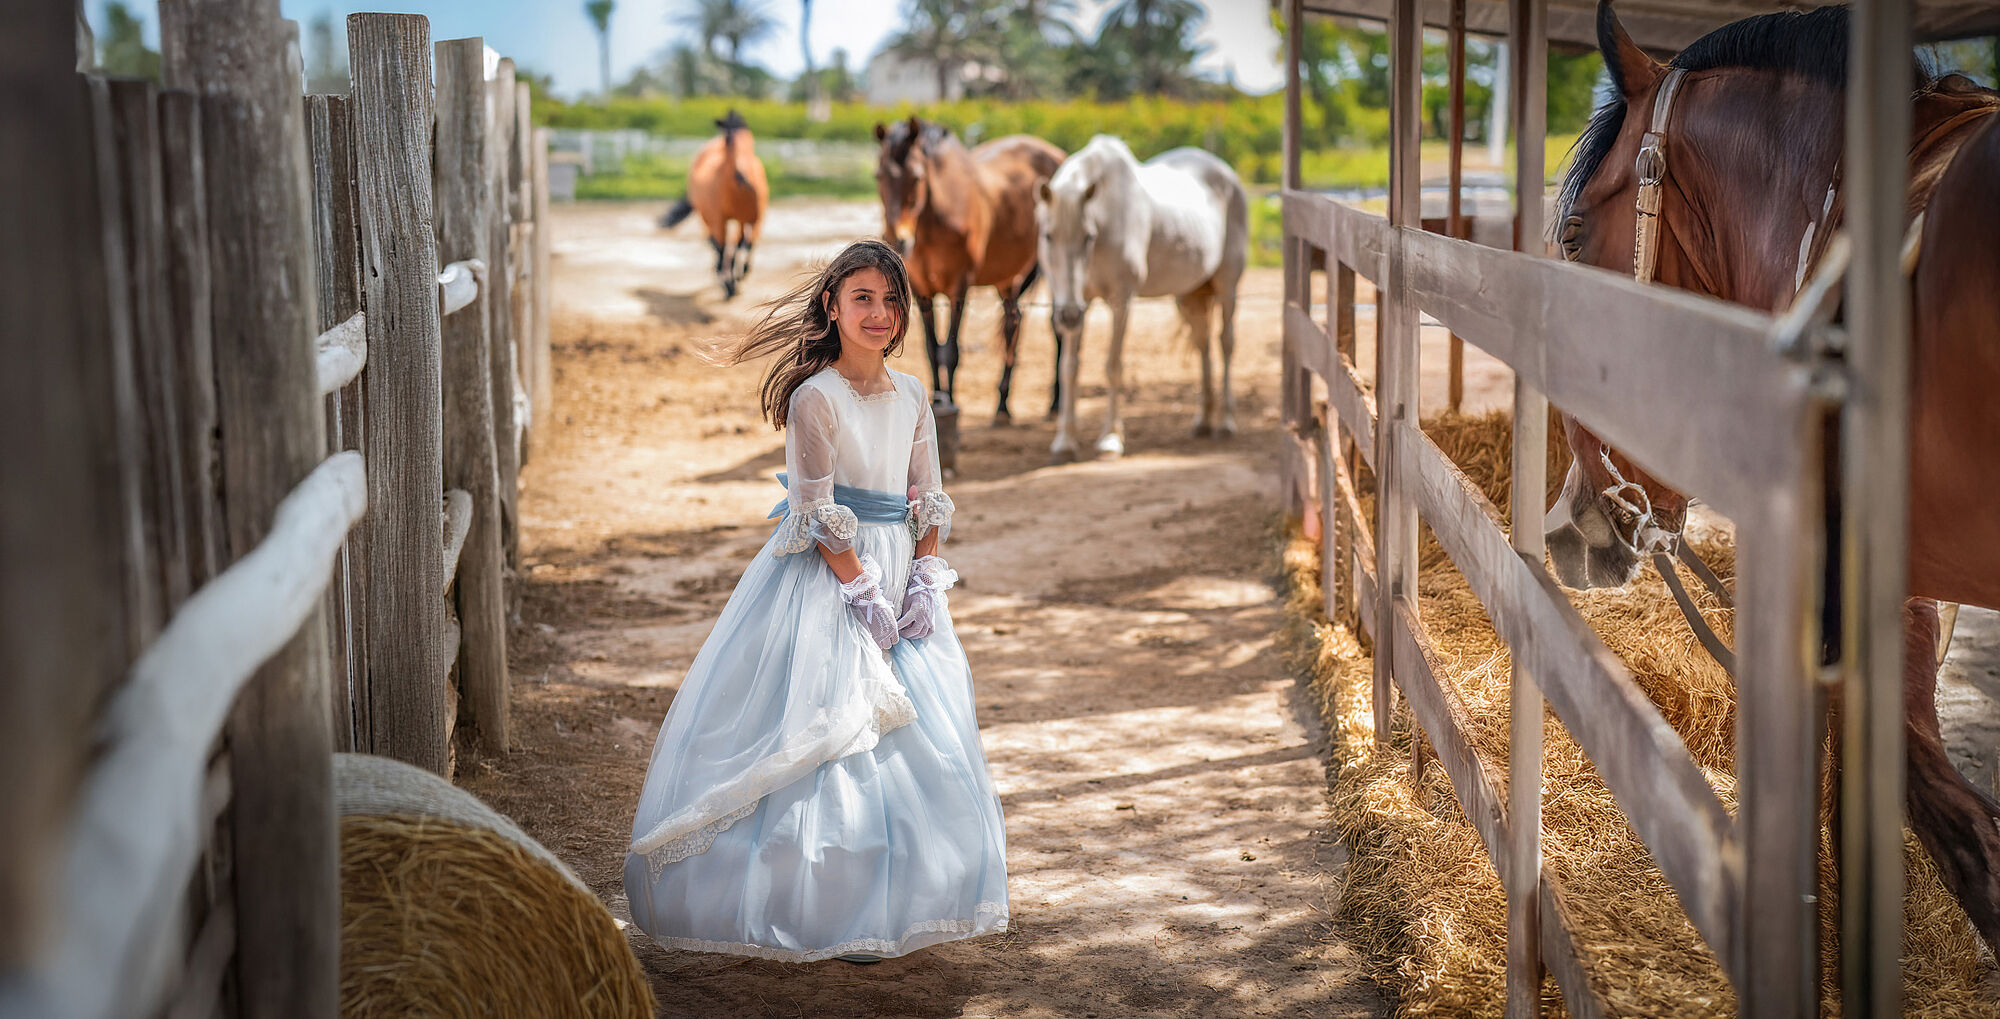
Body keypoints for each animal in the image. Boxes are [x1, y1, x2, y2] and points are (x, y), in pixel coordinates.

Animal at [660, 110, 768, 300]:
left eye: (750, 138)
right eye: (729, 140)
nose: (742, 176)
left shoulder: (753, 219)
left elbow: (745, 245)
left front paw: (739, 276)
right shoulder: (719, 220)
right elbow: (723, 248)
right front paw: (729, 285)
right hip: (707, 216)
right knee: (715, 244)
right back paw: (722, 277)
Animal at [873, 117, 1065, 423]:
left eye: (917, 177)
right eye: (878, 177)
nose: (897, 239)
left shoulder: (958, 287)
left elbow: (951, 351)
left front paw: (950, 402)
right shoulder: (920, 290)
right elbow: (932, 350)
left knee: (1057, 326)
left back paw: (1056, 402)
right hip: (1006, 278)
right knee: (1013, 323)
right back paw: (1002, 405)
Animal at [1035, 135, 1248, 462]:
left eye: (1088, 237)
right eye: (1048, 236)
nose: (1068, 316)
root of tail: (1227, 174)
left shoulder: (1121, 300)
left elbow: (1113, 365)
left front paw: (1111, 439)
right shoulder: (1080, 302)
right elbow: (1069, 368)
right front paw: (1065, 442)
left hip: (1227, 286)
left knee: (1226, 343)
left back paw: (1224, 421)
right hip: (1189, 295)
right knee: (1203, 345)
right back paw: (1203, 420)